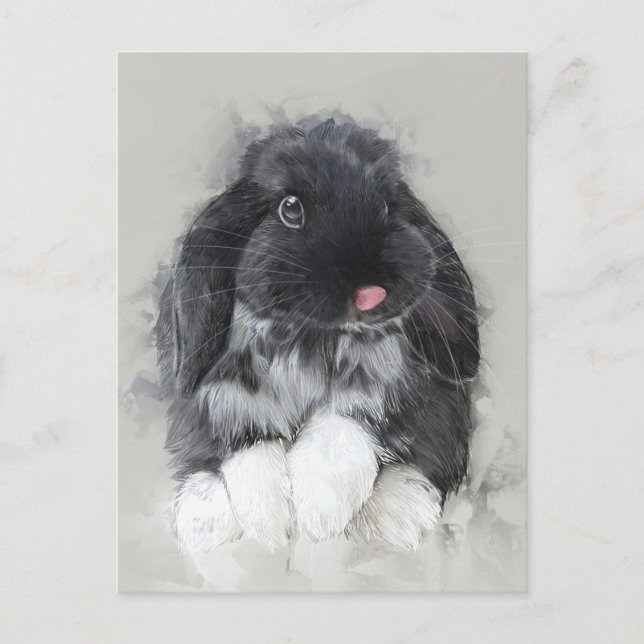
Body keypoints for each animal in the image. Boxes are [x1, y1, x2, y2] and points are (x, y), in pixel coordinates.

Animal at [156, 118, 480, 553]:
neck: (311, 339)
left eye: (385, 203)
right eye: (290, 208)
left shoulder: (421, 395)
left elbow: (347, 424)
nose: (371, 292)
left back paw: (396, 516)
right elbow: (243, 441)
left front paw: (319, 514)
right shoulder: (217, 401)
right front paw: (271, 524)